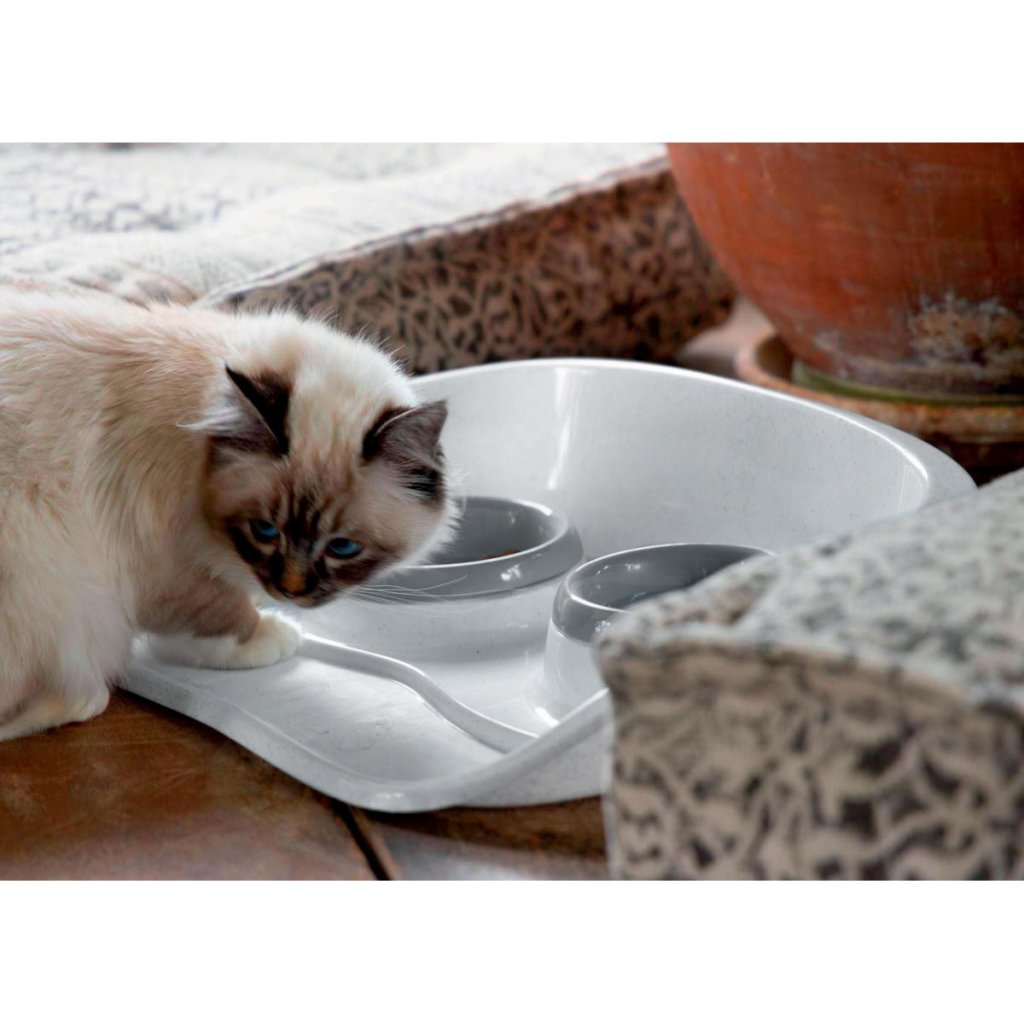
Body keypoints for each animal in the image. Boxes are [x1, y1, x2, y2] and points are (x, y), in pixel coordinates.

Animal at [0, 284, 456, 742]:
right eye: (265, 531)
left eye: (342, 547)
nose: (290, 591)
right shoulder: (167, 564)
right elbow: (222, 612)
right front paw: (268, 635)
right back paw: (82, 700)